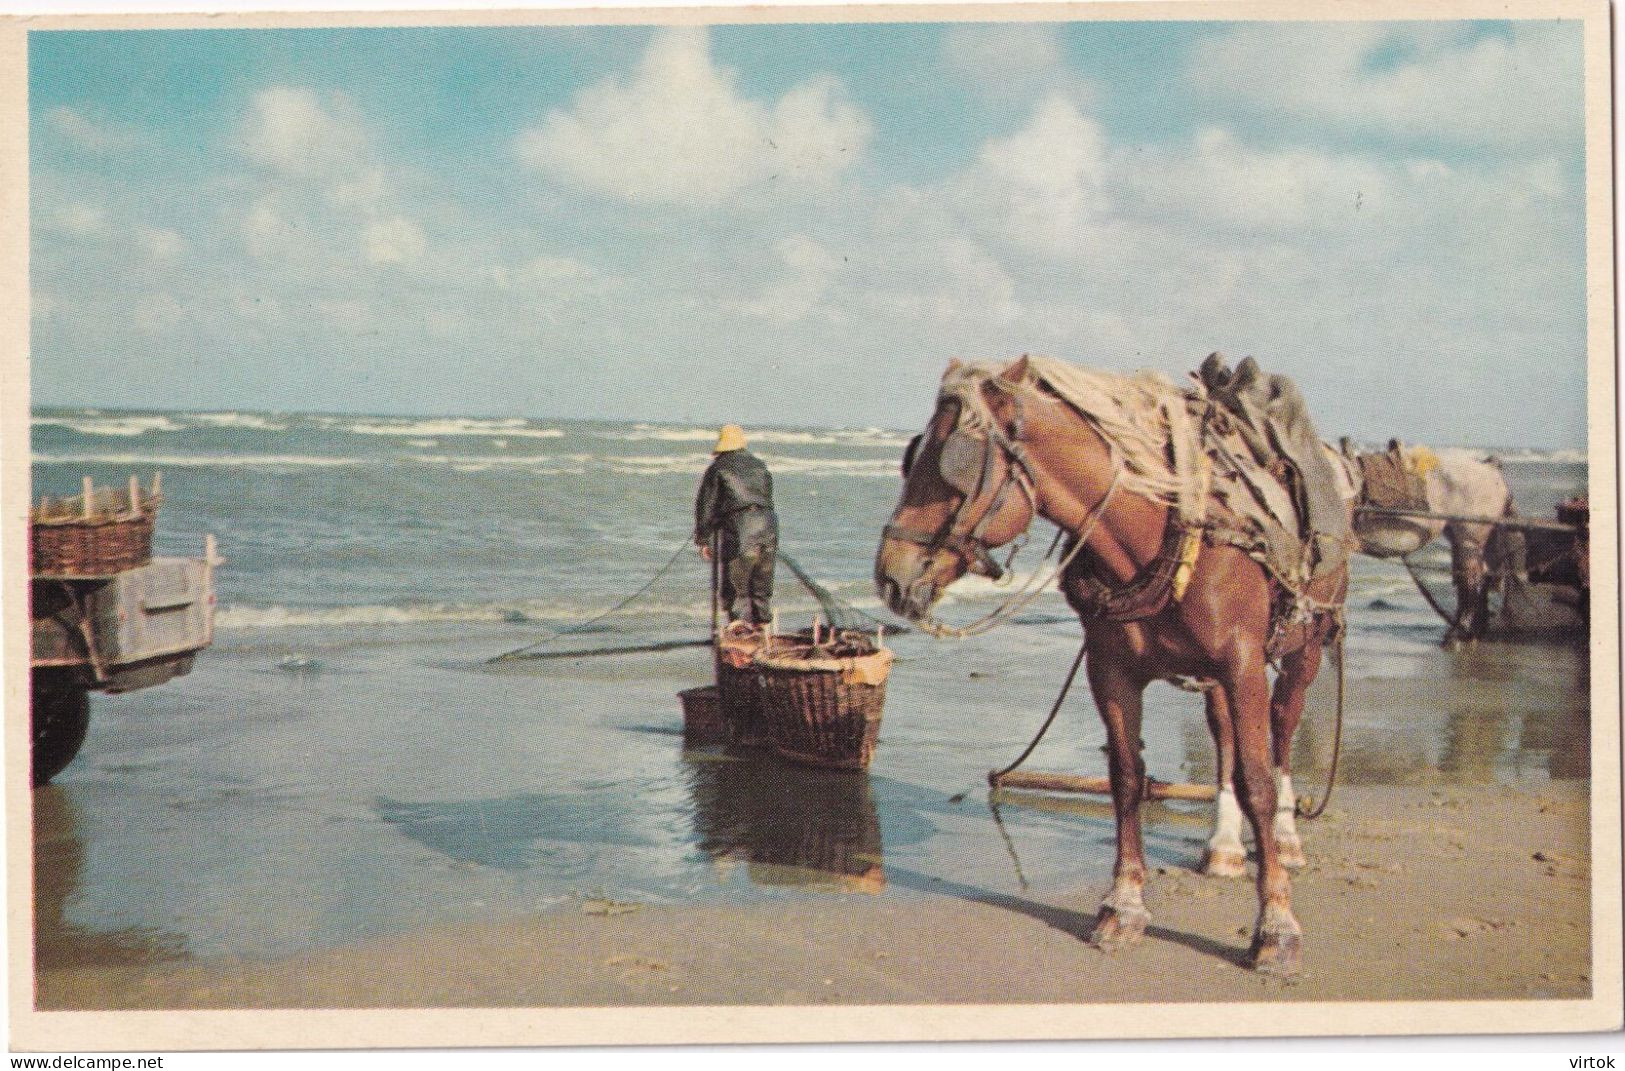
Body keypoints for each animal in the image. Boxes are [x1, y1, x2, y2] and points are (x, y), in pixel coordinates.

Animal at [877, 355, 1345, 975]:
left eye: (955, 467)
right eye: (915, 455)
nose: (889, 575)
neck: (1161, 529)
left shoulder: (1243, 664)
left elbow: (1259, 783)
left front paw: (1276, 927)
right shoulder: (1111, 671)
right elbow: (1126, 779)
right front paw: (1123, 906)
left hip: (1303, 648)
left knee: (1284, 729)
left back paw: (1288, 840)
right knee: (1222, 737)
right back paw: (1222, 845)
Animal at [1339, 445, 1514, 646]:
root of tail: (1489, 465)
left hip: (1469, 539)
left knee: (1471, 582)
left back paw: (1457, 634)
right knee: (1476, 577)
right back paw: (1473, 631)